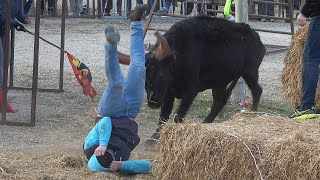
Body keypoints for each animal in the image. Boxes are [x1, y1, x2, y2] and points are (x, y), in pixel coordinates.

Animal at [122, 15, 264, 126]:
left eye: (161, 75)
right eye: (144, 77)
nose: (153, 102)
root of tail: (256, 37)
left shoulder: (190, 91)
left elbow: (178, 117)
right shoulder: (169, 92)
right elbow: (163, 117)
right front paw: (153, 139)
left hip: (250, 72)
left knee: (257, 90)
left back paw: (252, 112)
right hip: (220, 82)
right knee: (219, 101)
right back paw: (206, 122)